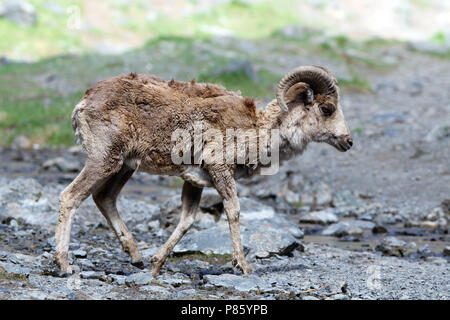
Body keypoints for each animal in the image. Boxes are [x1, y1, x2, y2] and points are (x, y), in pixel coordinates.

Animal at [55, 66, 352, 276]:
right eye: (327, 109)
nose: (348, 142)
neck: (259, 130)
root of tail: (84, 102)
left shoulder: (195, 182)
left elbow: (187, 220)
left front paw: (156, 265)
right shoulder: (219, 170)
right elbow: (233, 211)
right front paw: (243, 266)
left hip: (123, 167)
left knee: (104, 198)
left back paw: (136, 258)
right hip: (103, 161)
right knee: (70, 197)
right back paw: (65, 266)